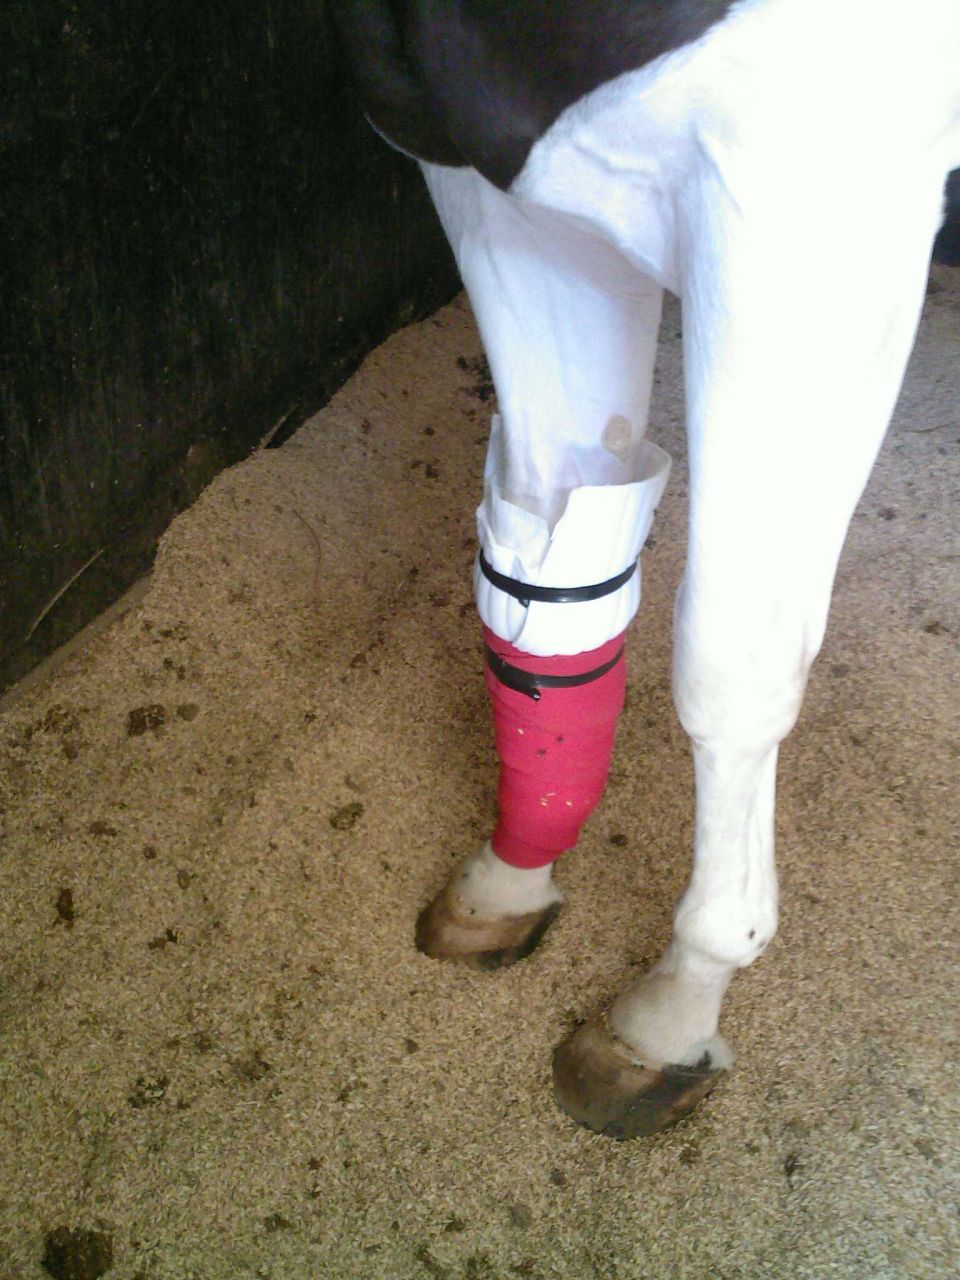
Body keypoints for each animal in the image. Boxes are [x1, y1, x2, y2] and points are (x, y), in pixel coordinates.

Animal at [333, 0, 960, 1138]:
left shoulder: (807, 212)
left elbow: (730, 670)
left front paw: (676, 1007)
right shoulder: (502, 187)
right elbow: (549, 558)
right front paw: (513, 874)